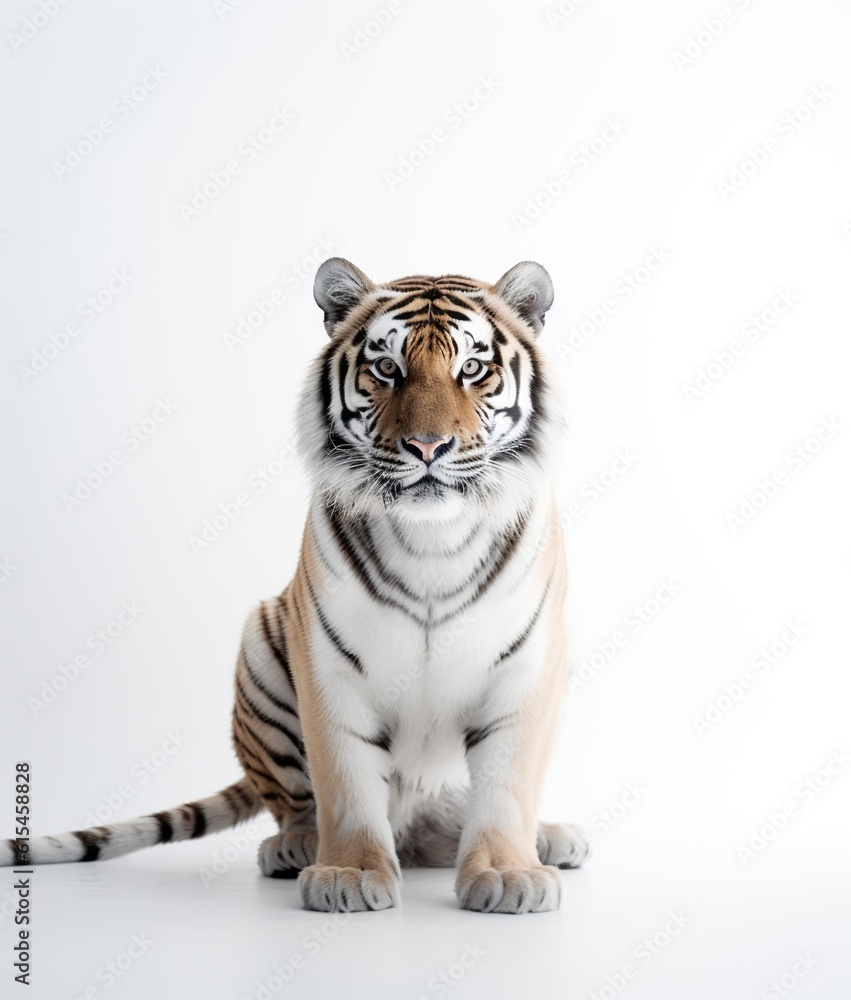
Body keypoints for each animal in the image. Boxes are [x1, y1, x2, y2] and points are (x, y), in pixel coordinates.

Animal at [2, 258, 590, 913]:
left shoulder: (528, 665)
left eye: (471, 369)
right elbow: (346, 781)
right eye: (387, 368)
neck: (432, 539)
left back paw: (551, 837)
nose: (428, 446)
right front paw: (349, 874)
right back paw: (297, 847)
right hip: (261, 646)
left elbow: (507, 783)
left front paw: (509, 873)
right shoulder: (330, 665)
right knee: (295, 803)